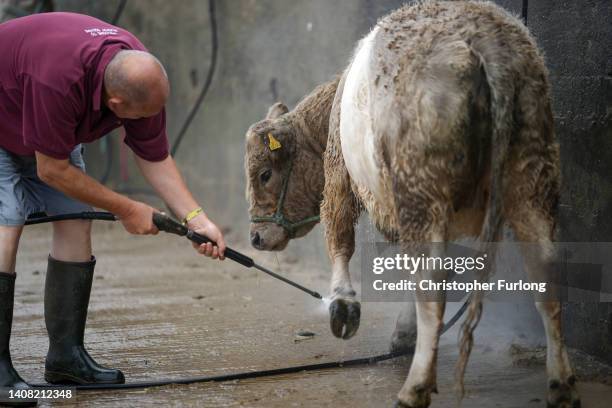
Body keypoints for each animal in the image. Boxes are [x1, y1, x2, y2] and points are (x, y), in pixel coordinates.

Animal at [245, 1, 580, 406]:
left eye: (265, 174)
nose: (256, 238)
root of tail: (484, 44)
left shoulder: (340, 179)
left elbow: (340, 241)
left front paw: (344, 306)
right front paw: (403, 331)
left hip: (422, 192)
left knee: (432, 285)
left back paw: (416, 386)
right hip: (532, 178)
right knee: (545, 279)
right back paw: (561, 385)